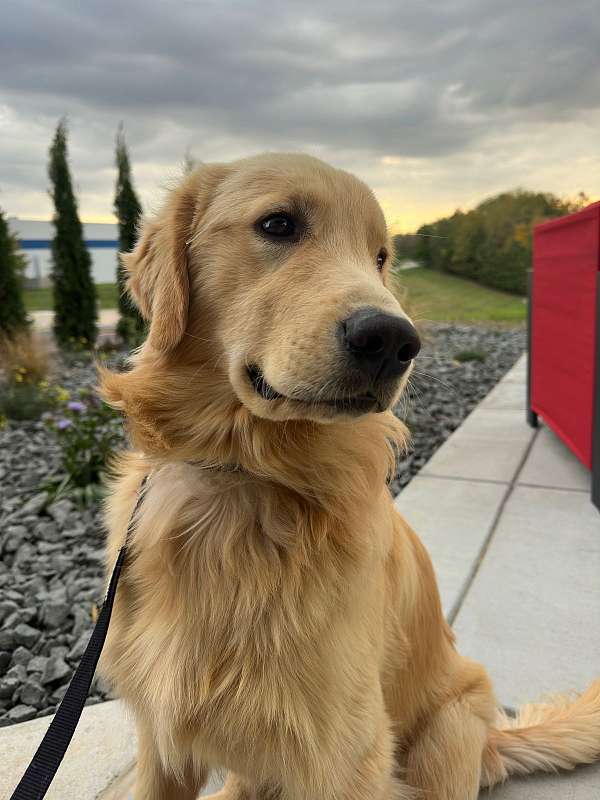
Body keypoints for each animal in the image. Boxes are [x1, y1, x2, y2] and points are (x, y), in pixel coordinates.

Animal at [99, 153, 600, 796]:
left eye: (380, 256)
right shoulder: (162, 740)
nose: (393, 340)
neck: (244, 475)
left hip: (448, 730)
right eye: (279, 224)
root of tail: (493, 742)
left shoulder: (346, 750)